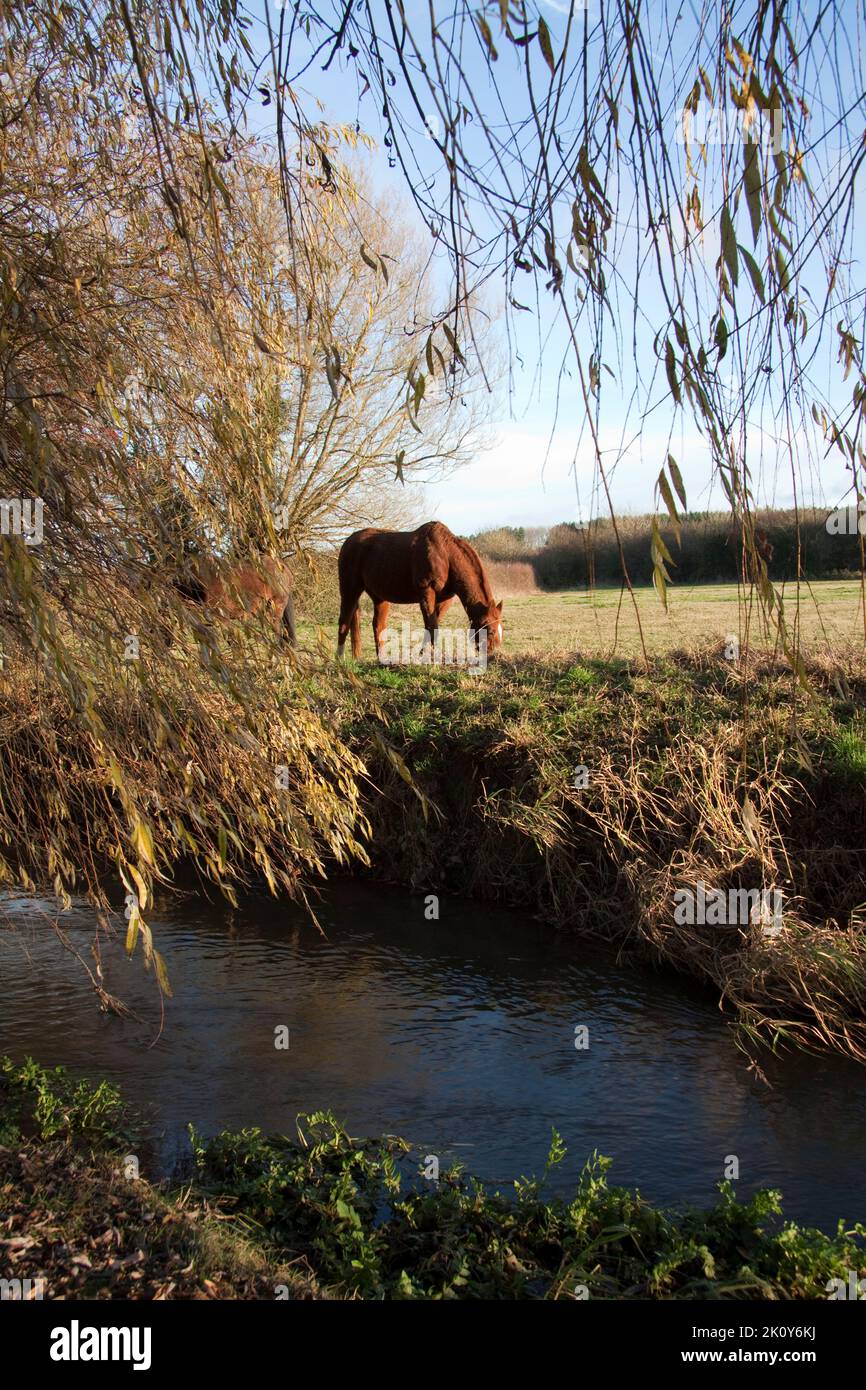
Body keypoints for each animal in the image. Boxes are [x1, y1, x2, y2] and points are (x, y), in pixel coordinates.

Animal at [337, 521, 502, 662]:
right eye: (490, 631)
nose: (494, 656)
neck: (445, 554)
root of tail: (348, 542)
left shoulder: (444, 600)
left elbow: (432, 624)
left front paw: (425, 654)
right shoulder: (426, 592)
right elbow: (432, 626)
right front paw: (429, 656)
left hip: (379, 597)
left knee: (378, 625)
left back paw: (381, 659)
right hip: (350, 590)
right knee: (344, 622)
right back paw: (339, 659)